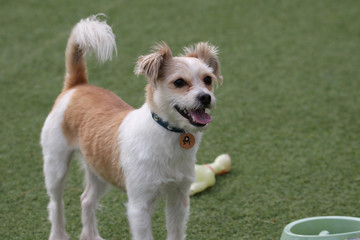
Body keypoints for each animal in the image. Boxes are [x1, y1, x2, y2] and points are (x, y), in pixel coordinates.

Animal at [41, 15, 222, 240]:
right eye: (179, 82)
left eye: (208, 79)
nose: (206, 97)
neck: (166, 134)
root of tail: (77, 86)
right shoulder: (139, 205)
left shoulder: (178, 197)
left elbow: (176, 232)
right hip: (55, 166)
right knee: (56, 203)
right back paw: (58, 233)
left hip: (99, 168)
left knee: (86, 199)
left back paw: (91, 235)